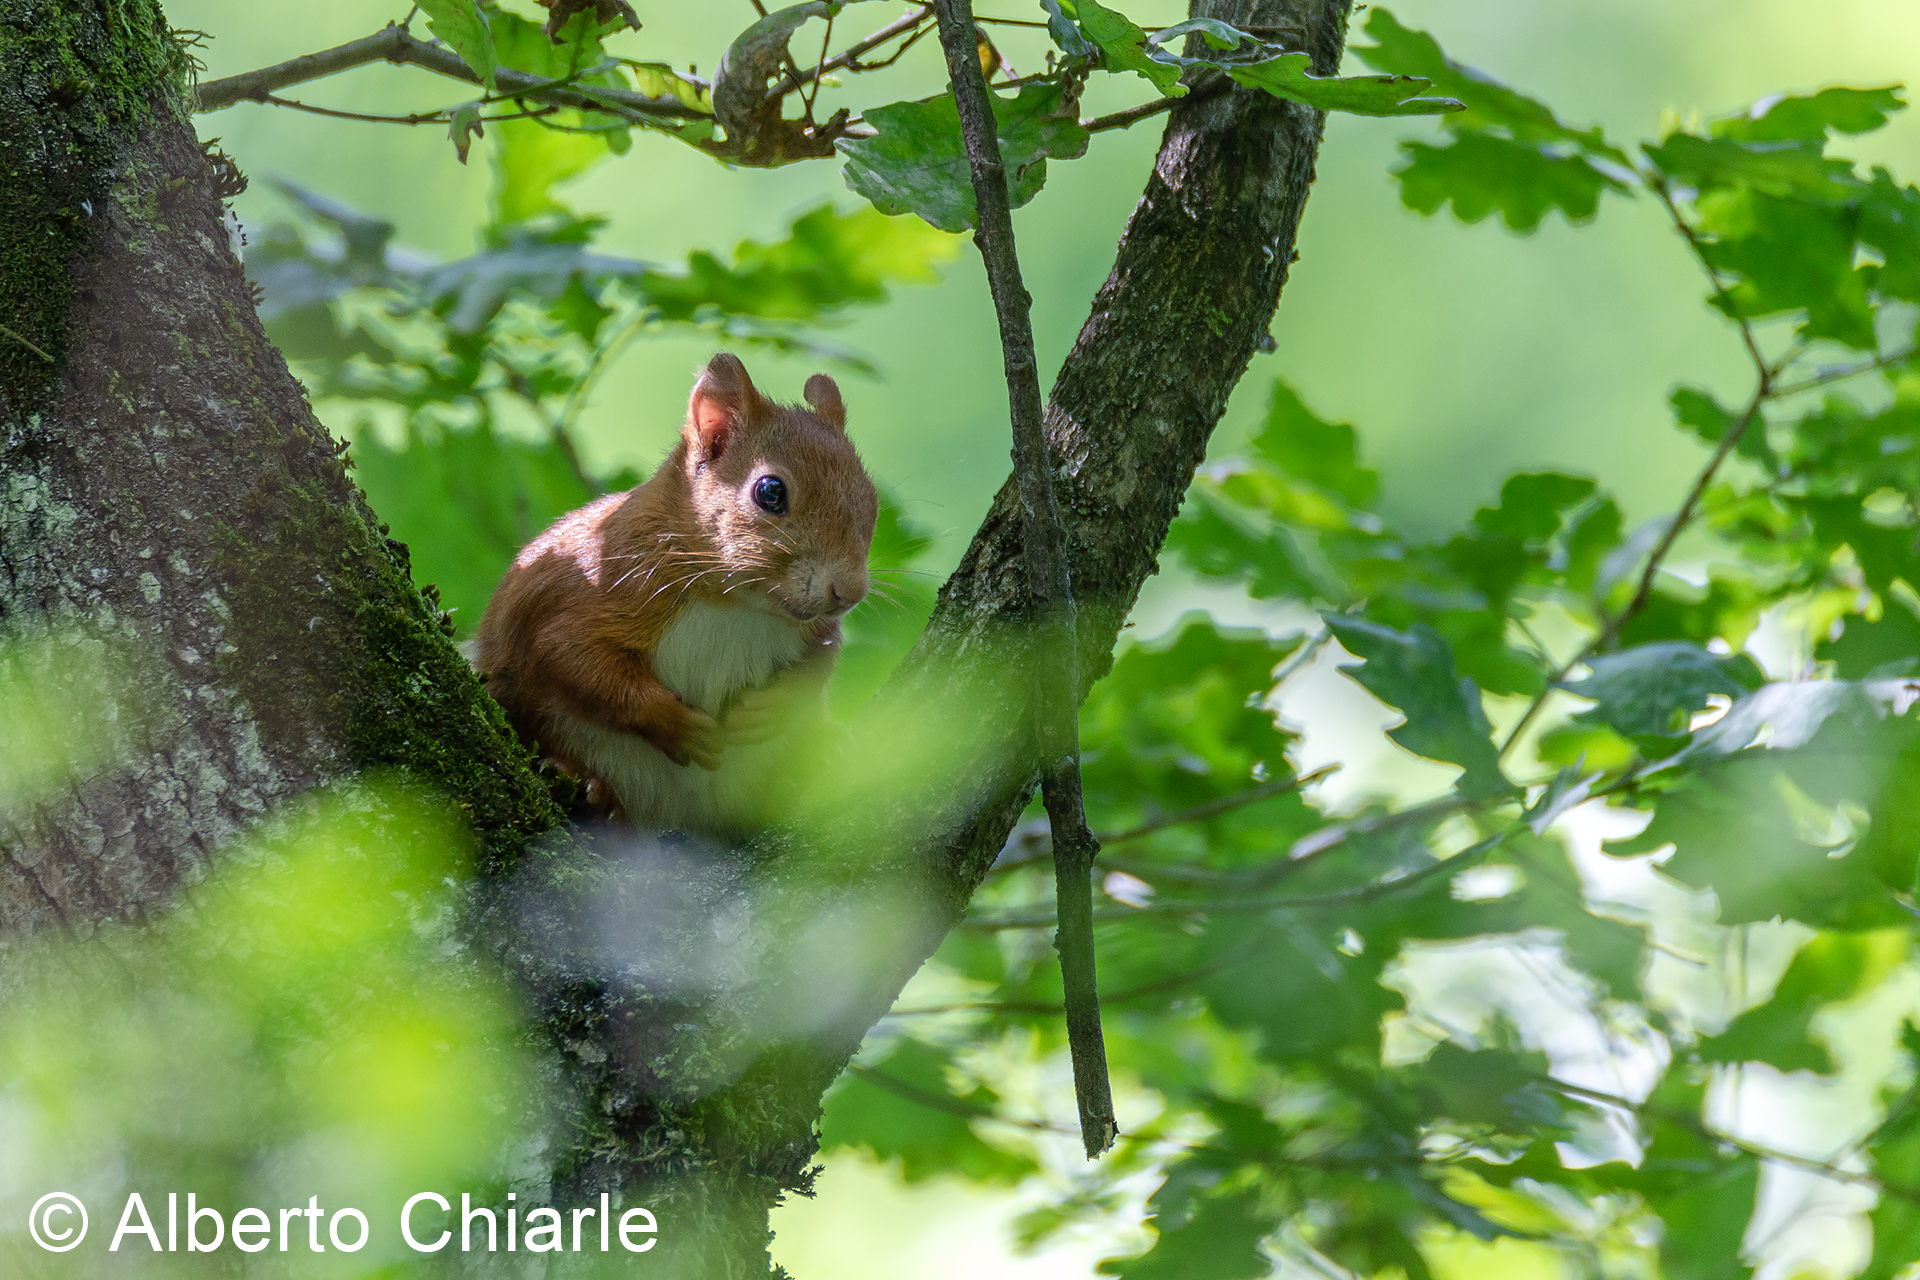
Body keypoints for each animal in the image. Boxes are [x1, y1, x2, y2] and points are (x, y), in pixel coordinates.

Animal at [474, 352, 877, 838]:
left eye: (870, 495)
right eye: (770, 492)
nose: (849, 591)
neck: (734, 604)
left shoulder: (814, 629)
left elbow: (820, 662)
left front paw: (769, 708)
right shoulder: (593, 590)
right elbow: (575, 660)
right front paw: (677, 725)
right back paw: (586, 787)